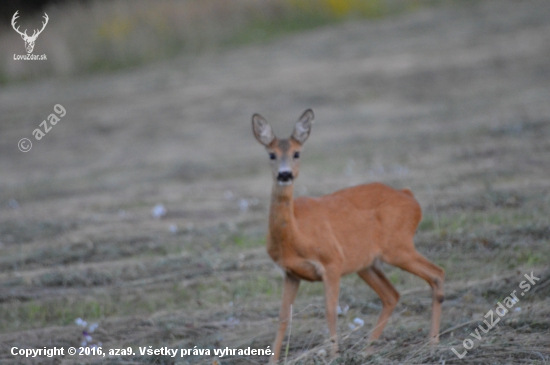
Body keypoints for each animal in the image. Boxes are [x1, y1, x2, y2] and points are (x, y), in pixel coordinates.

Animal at [252, 108, 446, 362]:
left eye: (297, 153)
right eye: (271, 154)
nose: (285, 175)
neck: (296, 236)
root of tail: (411, 198)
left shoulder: (332, 262)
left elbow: (330, 311)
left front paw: (334, 355)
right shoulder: (291, 273)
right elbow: (283, 316)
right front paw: (272, 360)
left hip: (398, 246)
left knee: (437, 273)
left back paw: (433, 342)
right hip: (366, 263)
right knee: (391, 294)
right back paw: (368, 348)